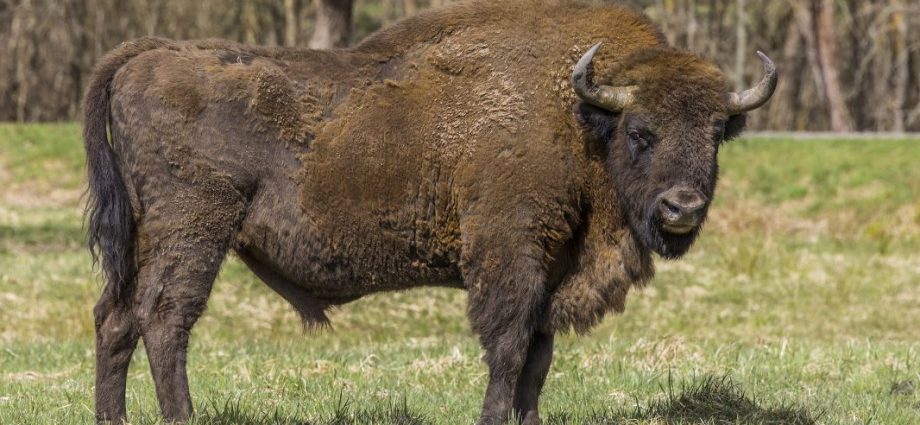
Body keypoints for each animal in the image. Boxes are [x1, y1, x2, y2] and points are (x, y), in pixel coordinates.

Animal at [84, 1, 776, 424]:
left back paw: (111, 417)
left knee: (116, 318)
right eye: (640, 132)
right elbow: (508, 347)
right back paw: (181, 416)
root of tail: (149, 55)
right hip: (195, 230)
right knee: (165, 320)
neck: (579, 116)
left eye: (717, 132)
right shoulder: (511, 256)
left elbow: (538, 358)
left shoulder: (553, 270)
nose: (683, 207)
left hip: (146, 237)